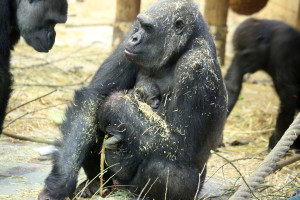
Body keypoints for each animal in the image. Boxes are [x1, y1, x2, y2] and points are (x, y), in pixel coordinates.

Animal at [225, 18, 300, 151]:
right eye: (242, 56)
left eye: (247, 54)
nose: (245, 65)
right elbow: (232, 84)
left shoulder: (284, 44)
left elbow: (288, 93)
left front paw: (276, 140)